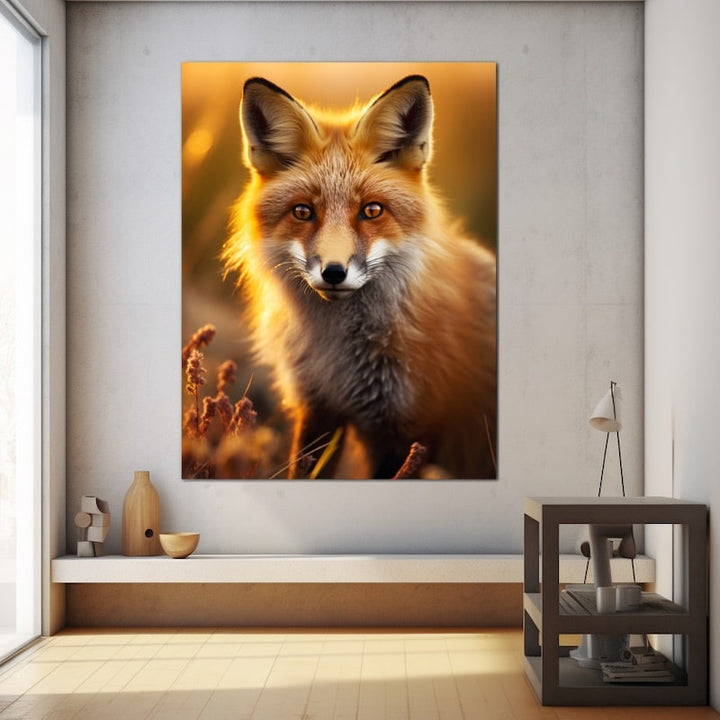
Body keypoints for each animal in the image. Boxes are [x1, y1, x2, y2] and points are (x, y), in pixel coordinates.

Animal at [222, 75, 496, 479]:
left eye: (372, 210)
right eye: (303, 212)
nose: (334, 272)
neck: (339, 354)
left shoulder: (405, 429)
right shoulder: (319, 409)